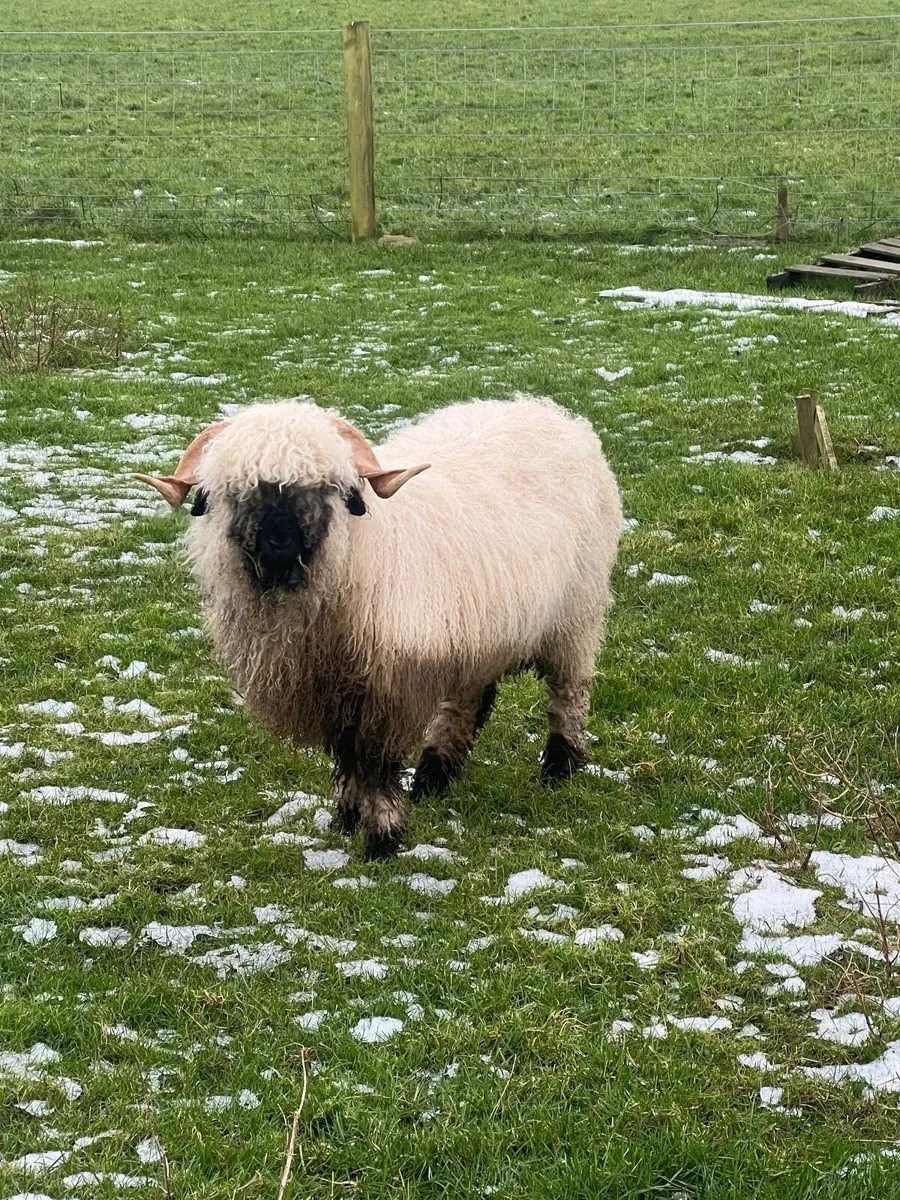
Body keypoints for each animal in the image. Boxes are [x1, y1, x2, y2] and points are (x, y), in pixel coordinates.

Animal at [136, 394, 622, 859]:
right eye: (239, 490)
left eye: (325, 487)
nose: (279, 539)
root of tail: (554, 415)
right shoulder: (334, 691)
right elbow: (348, 757)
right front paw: (346, 817)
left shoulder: (386, 686)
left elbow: (374, 762)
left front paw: (383, 836)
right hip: (481, 631)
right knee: (466, 701)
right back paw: (434, 775)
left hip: (577, 615)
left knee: (569, 694)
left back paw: (559, 768)